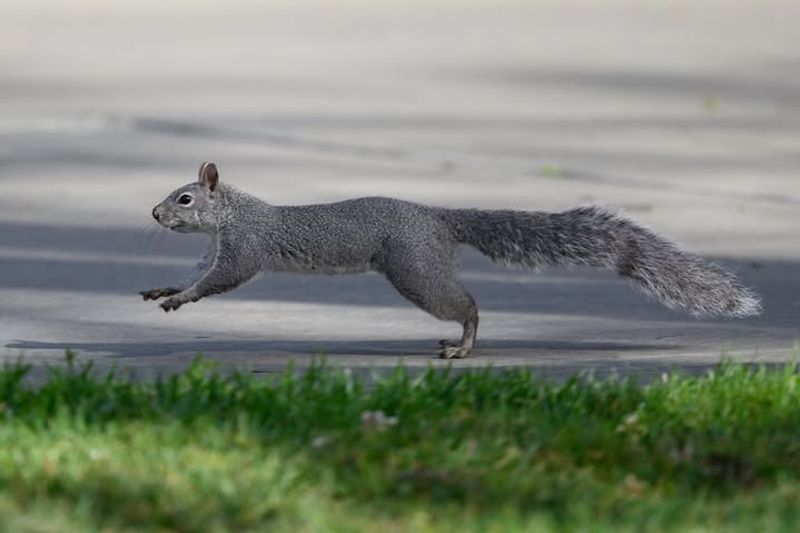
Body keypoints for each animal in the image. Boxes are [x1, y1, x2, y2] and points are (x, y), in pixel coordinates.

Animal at [141, 162, 762, 359]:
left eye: (185, 199)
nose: (153, 212)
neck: (232, 214)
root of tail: (438, 218)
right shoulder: (214, 248)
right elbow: (198, 272)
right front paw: (165, 290)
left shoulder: (244, 248)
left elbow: (221, 281)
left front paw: (181, 299)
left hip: (415, 272)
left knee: (468, 306)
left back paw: (463, 345)